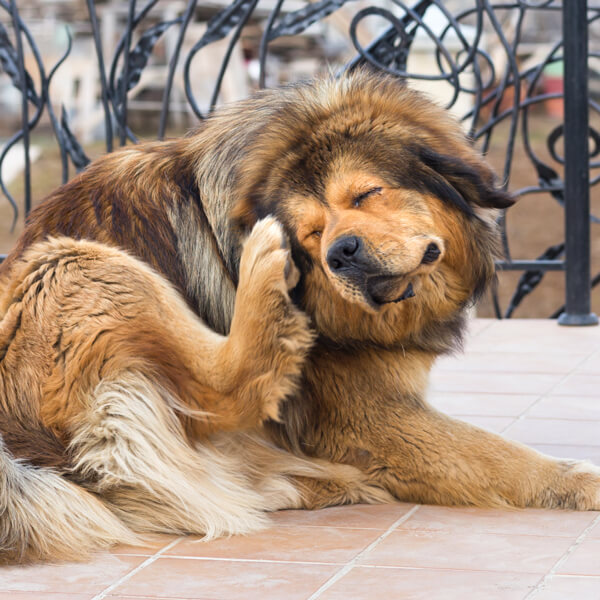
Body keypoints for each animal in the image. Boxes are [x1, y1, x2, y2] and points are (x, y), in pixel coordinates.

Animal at [1, 70, 600, 564]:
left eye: (367, 193)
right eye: (312, 233)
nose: (342, 253)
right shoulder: (371, 418)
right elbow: (505, 457)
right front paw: (581, 481)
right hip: (75, 263)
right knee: (229, 387)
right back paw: (263, 270)